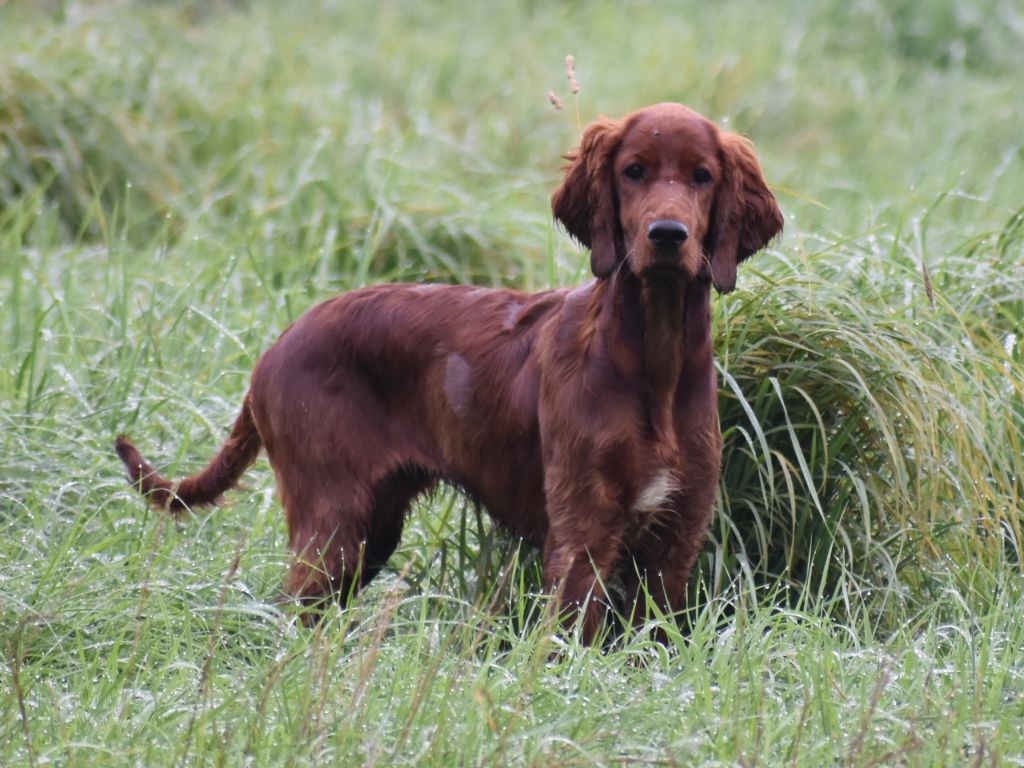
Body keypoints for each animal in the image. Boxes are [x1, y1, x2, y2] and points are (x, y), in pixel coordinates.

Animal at [116, 102, 778, 643]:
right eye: (633, 171)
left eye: (702, 176)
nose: (667, 235)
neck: (651, 364)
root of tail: (276, 347)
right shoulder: (582, 535)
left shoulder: (676, 540)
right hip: (332, 520)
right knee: (292, 608)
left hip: (372, 528)